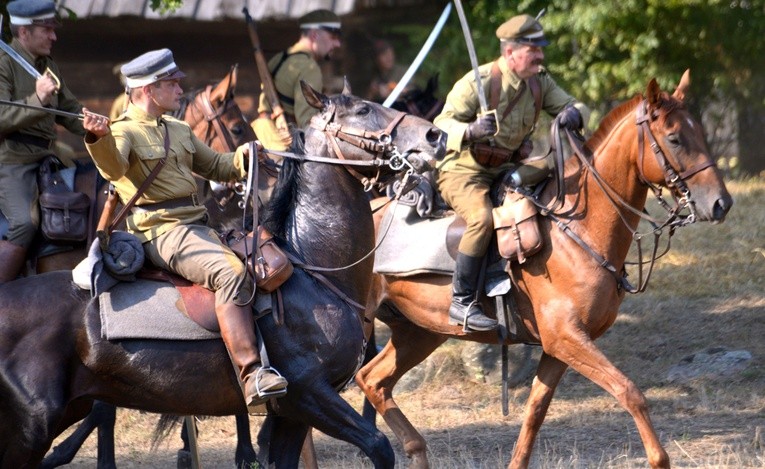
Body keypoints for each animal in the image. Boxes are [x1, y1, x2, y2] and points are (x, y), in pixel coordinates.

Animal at [0, 80, 444, 468]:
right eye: (363, 109)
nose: (435, 135)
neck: (314, 270)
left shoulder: (293, 415)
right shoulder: (311, 396)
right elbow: (379, 445)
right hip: (30, 431)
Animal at [356, 70, 732, 468]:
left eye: (699, 132)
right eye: (674, 137)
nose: (721, 203)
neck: (577, 230)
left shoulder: (558, 349)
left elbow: (535, 412)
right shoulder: (566, 338)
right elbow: (630, 391)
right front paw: (659, 459)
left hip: (419, 332)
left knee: (373, 379)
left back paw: (414, 448)